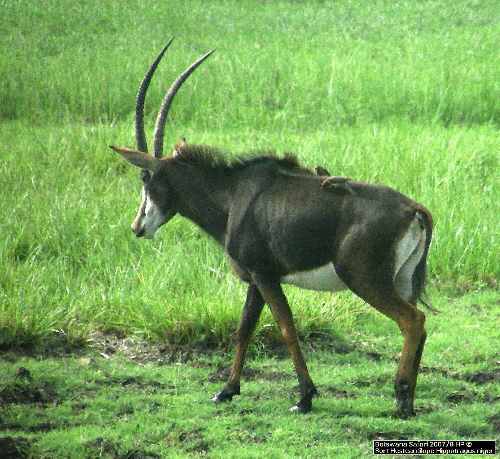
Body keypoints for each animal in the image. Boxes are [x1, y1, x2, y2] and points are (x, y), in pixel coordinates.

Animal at [110, 40, 434, 420]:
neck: (232, 195)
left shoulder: (265, 275)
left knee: (412, 321)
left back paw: (400, 400)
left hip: (365, 279)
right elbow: (243, 329)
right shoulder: (254, 279)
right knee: (419, 327)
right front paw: (226, 391)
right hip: (403, 280)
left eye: (146, 177)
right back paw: (409, 400)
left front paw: (304, 397)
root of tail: (413, 209)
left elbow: (286, 328)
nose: (137, 226)